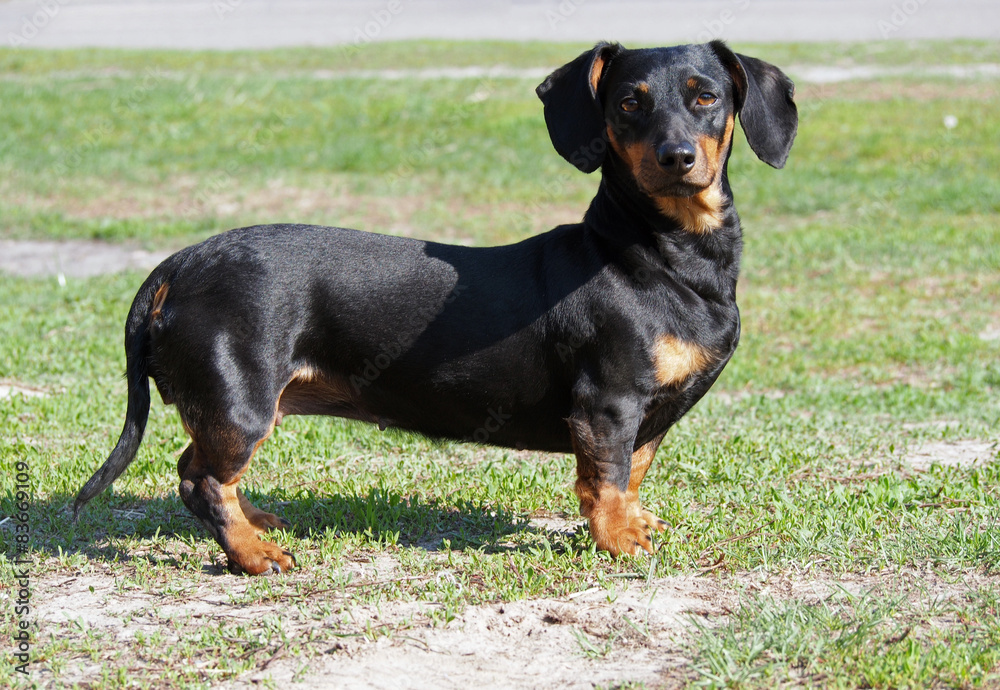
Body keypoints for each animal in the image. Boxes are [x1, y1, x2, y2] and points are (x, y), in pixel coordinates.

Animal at [76, 40, 796, 572]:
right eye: (628, 103)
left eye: (706, 97)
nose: (677, 158)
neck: (661, 255)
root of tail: (179, 265)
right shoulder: (609, 401)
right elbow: (608, 478)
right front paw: (619, 539)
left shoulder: (647, 415)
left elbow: (637, 469)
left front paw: (637, 521)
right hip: (240, 404)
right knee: (200, 481)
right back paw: (255, 554)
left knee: (203, 474)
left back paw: (257, 525)